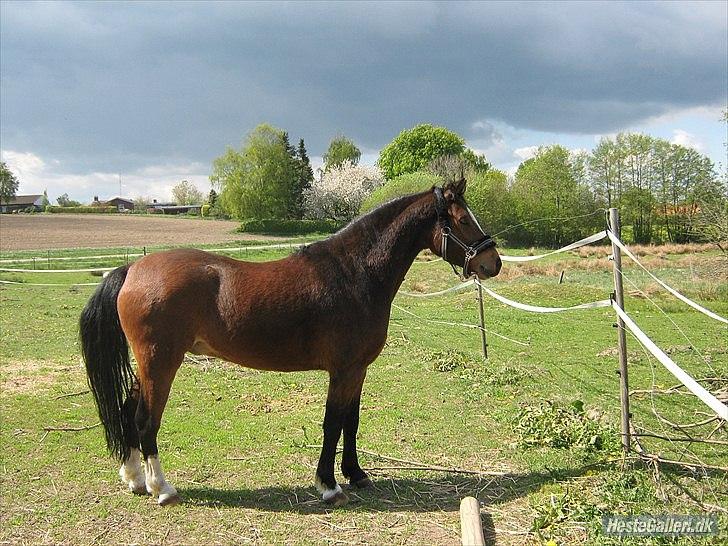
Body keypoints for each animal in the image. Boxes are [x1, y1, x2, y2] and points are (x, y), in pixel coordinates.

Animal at [79, 177, 501, 507]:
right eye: (463, 219)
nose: (492, 263)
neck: (354, 273)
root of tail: (132, 269)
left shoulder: (358, 370)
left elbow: (351, 421)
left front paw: (356, 474)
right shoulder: (342, 370)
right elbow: (332, 423)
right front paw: (329, 486)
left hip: (148, 365)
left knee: (127, 411)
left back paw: (134, 479)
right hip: (161, 363)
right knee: (145, 419)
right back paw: (161, 487)